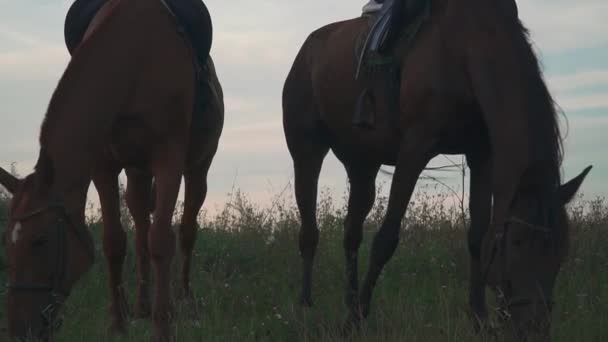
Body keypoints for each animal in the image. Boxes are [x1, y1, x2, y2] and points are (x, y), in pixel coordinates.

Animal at [0, 0, 223, 340]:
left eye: (41, 241)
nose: (18, 331)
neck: (135, 57)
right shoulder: (103, 166)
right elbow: (114, 242)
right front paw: (118, 323)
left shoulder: (168, 159)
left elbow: (162, 241)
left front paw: (163, 326)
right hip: (137, 173)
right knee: (141, 225)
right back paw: (142, 305)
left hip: (198, 166)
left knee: (186, 230)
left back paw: (185, 302)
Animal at [282, 0, 592, 338]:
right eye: (517, 243)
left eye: (561, 251)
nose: (534, 329)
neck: (466, 48)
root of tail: (306, 51)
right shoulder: (414, 148)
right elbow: (386, 239)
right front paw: (357, 319)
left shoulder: (481, 155)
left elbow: (477, 237)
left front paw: (479, 319)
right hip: (307, 152)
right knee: (309, 231)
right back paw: (306, 307)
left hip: (362, 164)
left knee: (351, 234)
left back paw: (348, 303)